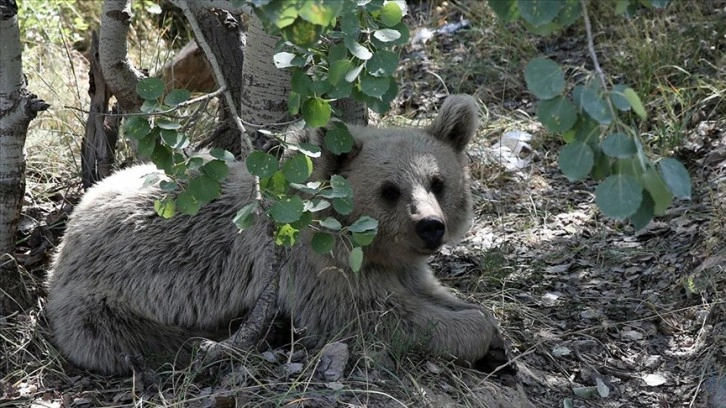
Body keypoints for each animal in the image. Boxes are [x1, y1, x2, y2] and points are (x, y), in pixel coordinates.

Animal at [45, 94, 506, 374]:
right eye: (389, 190)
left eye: (438, 182)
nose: (430, 226)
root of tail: (68, 231)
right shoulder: (315, 267)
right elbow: (375, 316)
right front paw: (476, 335)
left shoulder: (400, 265)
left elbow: (428, 291)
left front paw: (490, 330)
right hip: (102, 303)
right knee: (142, 340)